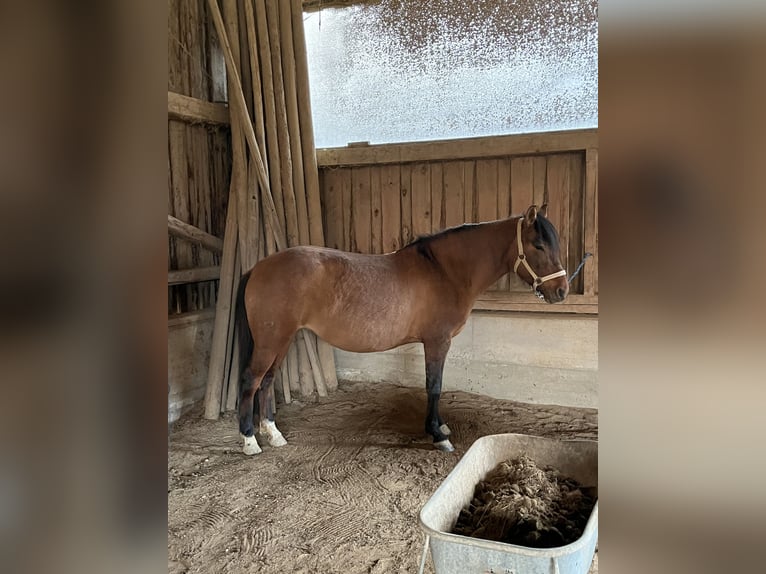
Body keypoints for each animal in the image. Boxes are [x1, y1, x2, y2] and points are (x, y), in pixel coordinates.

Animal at [234, 205, 568, 456]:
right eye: (538, 245)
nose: (562, 290)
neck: (444, 270)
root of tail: (258, 268)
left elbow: (436, 385)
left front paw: (440, 426)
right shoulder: (437, 341)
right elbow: (434, 386)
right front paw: (438, 436)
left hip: (283, 340)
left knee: (268, 381)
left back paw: (273, 434)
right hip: (271, 340)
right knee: (251, 380)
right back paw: (250, 440)